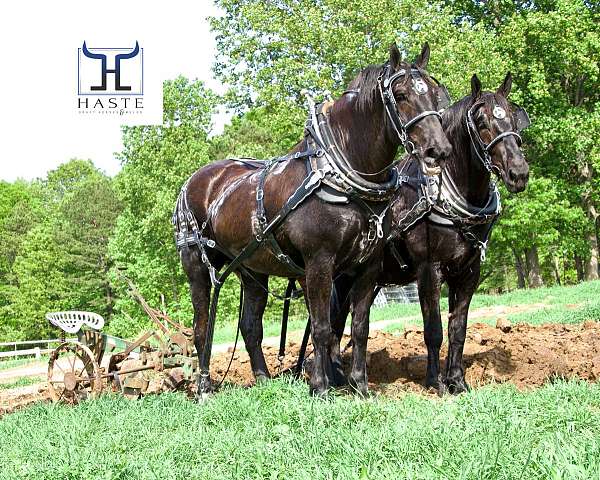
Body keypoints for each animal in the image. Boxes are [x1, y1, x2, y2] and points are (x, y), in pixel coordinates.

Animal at [176, 44, 452, 398]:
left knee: (250, 327)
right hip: (197, 263)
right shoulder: (319, 263)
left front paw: (360, 386)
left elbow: (359, 328)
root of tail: (195, 181)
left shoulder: (368, 267)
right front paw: (321, 388)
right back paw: (204, 388)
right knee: (201, 327)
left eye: (434, 92)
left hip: (252, 270)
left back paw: (264, 381)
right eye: (401, 95)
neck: (341, 172)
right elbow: (321, 327)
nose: (438, 150)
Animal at [332, 72, 528, 394]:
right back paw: (333, 375)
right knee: (332, 322)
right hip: (341, 276)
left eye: (514, 117)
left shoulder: (469, 273)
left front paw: (458, 380)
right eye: (481, 121)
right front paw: (436, 382)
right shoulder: (428, 269)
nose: (519, 173)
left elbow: (458, 329)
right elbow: (433, 330)